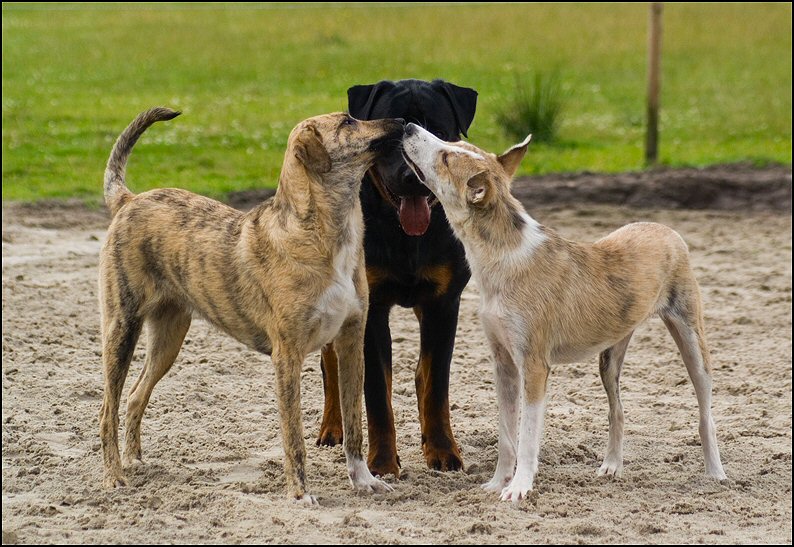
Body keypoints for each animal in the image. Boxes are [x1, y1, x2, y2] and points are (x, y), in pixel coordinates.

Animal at [98, 107, 402, 506]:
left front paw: (363, 480)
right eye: (347, 122)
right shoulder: (287, 355)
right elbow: (294, 436)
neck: (325, 234)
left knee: (135, 397)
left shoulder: (352, 341)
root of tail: (129, 200)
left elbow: (354, 424)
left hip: (169, 337)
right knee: (108, 410)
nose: (402, 123)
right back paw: (114, 476)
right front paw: (300, 494)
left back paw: (135, 461)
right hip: (121, 328)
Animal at [316, 79, 476, 478]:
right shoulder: (370, 308)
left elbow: (436, 385)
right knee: (332, 366)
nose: (411, 178)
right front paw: (382, 462)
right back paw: (333, 428)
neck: (405, 237)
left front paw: (442, 450)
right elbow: (376, 393)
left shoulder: (443, 303)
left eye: (438, 133)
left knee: (421, 373)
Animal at [402, 124, 724, 506]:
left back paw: (715, 473)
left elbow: (527, 436)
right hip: (610, 357)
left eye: (447, 157)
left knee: (706, 412)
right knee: (618, 410)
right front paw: (497, 483)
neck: (502, 257)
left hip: (691, 340)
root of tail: (666, 229)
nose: (407, 126)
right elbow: (506, 434)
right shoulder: (503, 363)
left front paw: (519, 487)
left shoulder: (535, 366)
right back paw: (612, 466)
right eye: (452, 146)